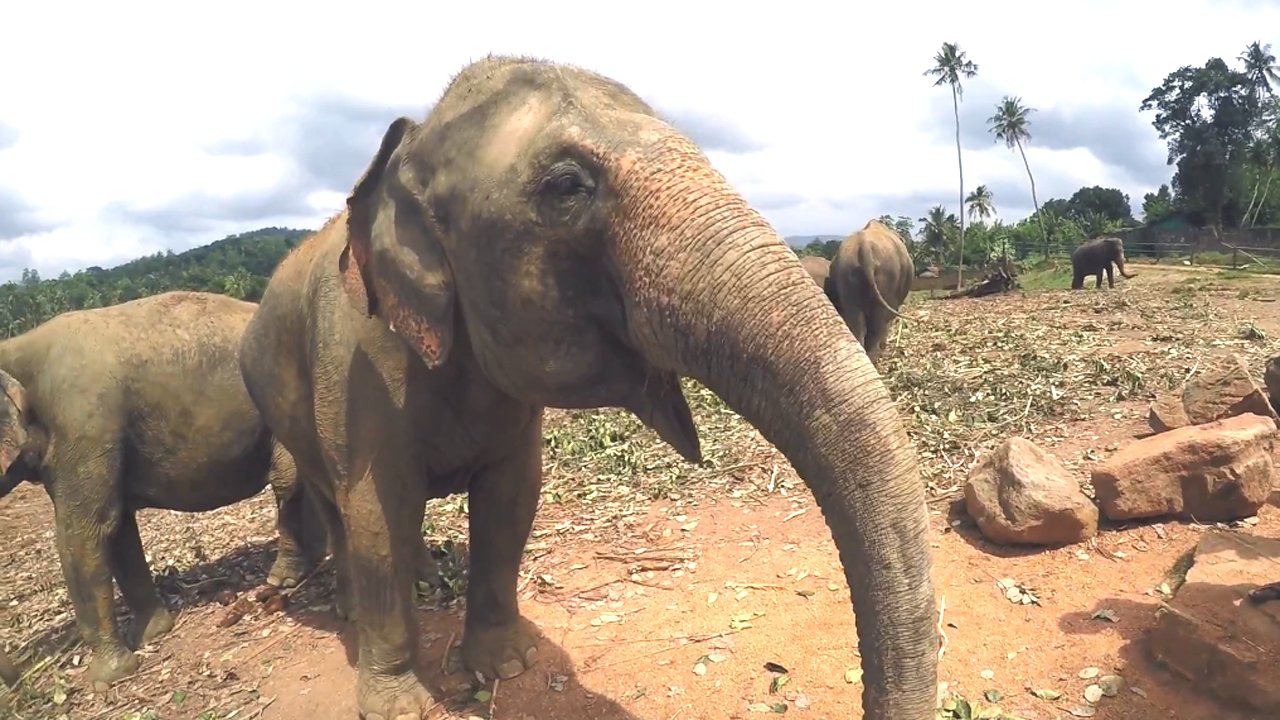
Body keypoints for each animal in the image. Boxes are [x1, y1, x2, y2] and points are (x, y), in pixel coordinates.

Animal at [0, 291, 337, 691]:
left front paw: (107, 678)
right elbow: (119, 528)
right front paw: (153, 633)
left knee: (288, 480)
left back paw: (283, 577)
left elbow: (83, 535)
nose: (18, 684)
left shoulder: (84, 426)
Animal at [827, 219, 914, 364]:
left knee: (856, 317)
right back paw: (874, 357)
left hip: (847, 274)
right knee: (878, 319)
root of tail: (864, 248)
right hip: (888, 274)